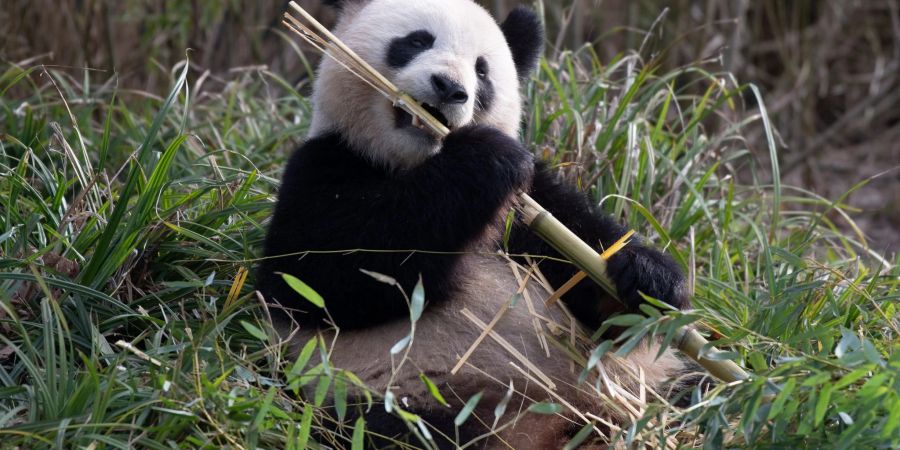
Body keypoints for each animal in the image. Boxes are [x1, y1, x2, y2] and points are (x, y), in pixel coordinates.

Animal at [258, 0, 688, 446]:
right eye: (417, 41)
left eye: (482, 71)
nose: (449, 88)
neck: (416, 162)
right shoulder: (324, 165)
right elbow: (324, 273)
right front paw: (485, 157)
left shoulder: (530, 207)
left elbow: (584, 273)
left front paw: (649, 277)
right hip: (396, 394)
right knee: (400, 428)